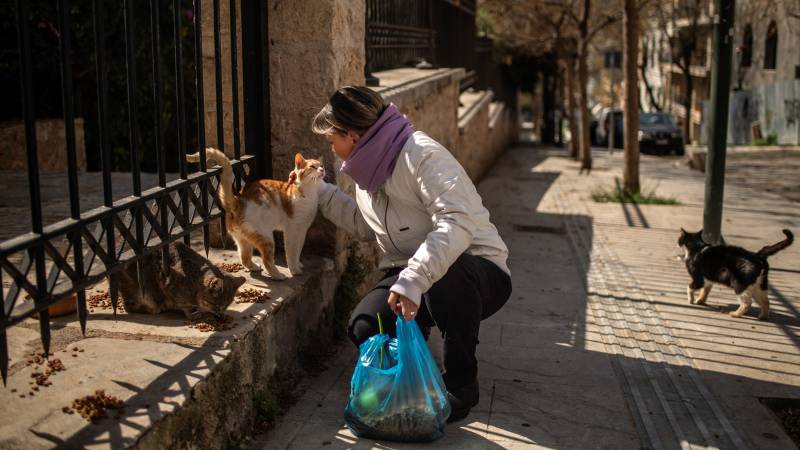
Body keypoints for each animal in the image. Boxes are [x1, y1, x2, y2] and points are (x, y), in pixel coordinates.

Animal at [188, 149, 324, 280]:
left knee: (244, 257)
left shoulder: (302, 231)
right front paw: (295, 270)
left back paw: (254, 267)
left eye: (321, 165)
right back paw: (278, 276)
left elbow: (299, 249)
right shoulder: (292, 231)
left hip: (244, 239)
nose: (322, 170)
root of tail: (239, 200)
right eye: (313, 167)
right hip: (267, 239)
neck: (310, 193)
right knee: (267, 261)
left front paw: (298, 264)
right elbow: (292, 252)